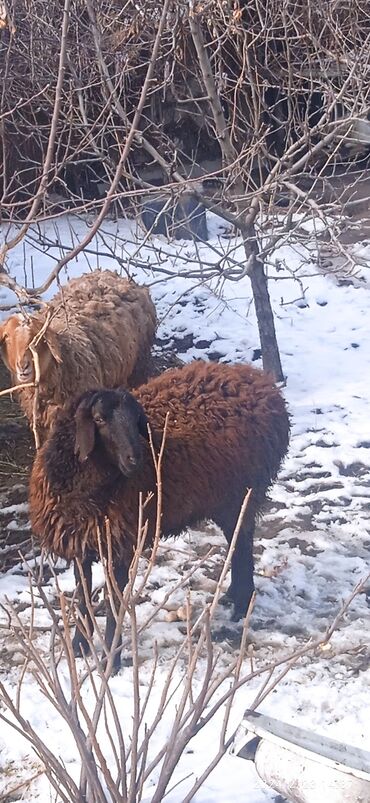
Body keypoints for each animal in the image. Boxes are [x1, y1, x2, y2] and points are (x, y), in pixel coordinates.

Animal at [29, 362, 290, 668]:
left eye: (136, 420)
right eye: (99, 419)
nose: (136, 459)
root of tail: (260, 381)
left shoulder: (120, 544)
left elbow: (115, 604)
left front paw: (110, 663)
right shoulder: (81, 542)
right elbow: (83, 598)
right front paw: (79, 647)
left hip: (241, 494)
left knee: (243, 543)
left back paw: (241, 604)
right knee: (238, 543)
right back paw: (234, 597)